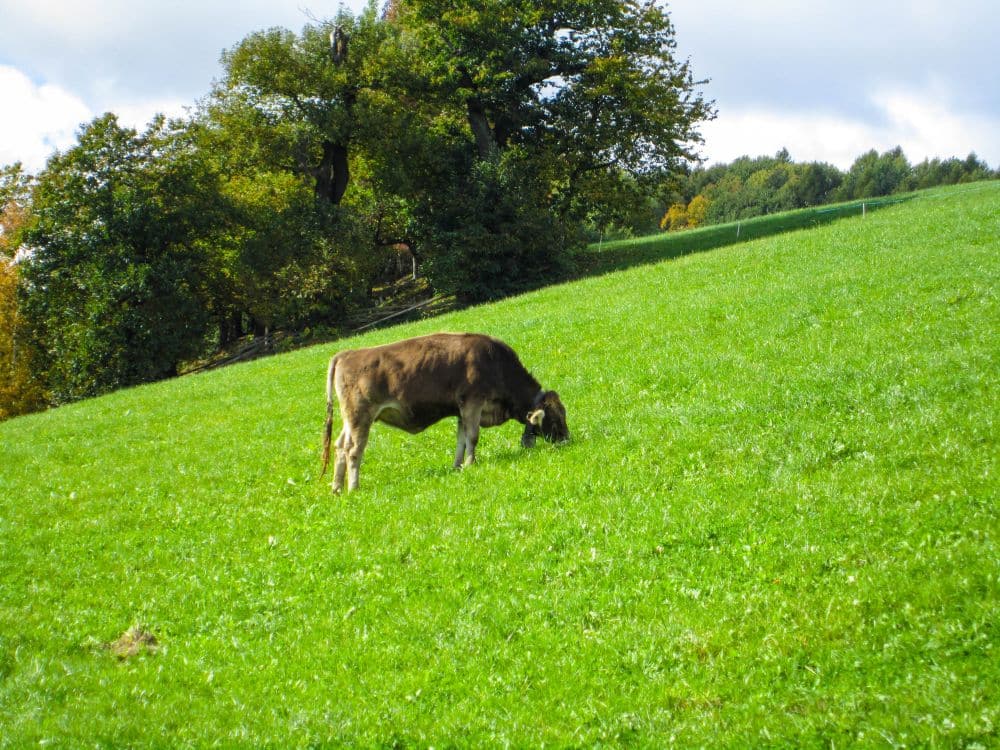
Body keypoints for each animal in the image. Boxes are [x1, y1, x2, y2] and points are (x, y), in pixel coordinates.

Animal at [320, 332, 569, 492]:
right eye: (556, 419)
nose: (567, 439)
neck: (495, 362)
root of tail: (346, 354)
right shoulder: (472, 403)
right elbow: (473, 437)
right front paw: (470, 463)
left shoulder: (461, 412)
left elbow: (462, 440)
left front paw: (458, 465)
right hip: (360, 418)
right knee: (354, 450)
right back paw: (353, 487)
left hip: (349, 421)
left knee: (340, 447)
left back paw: (336, 488)